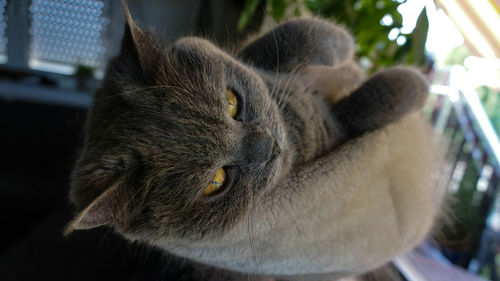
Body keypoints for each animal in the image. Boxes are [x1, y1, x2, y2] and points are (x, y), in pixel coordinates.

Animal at [64, 2, 440, 280]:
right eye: (216, 183)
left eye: (232, 102)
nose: (267, 147)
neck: (290, 116)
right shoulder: (332, 128)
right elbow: (366, 107)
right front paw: (415, 86)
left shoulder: (258, 58)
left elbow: (292, 34)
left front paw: (340, 46)